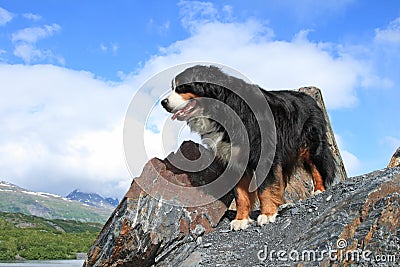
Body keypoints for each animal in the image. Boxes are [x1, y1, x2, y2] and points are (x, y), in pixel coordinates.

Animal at [161, 66, 336, 231]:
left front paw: (267, 214)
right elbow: (241, 195)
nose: (163, 102)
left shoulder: (263, 154)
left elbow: (264, 188)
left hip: (310, 145)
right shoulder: (233, 160)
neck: (223, 109)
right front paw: (241, 220)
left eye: (182, 87)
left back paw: (318, 190)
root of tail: (310, 98)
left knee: (317, 167)